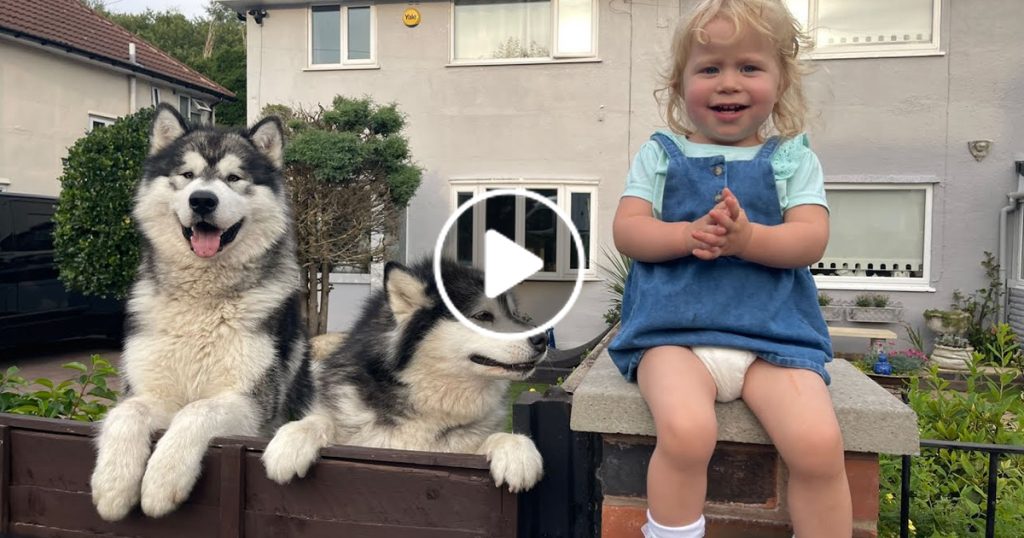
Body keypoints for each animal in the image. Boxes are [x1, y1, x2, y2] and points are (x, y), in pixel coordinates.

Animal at [90, 102, 313, 518]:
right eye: (188, 175)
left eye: (233, 177)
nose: (203, 200)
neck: (203, 304)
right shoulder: (149, 392)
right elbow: (127, 412)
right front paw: (113, 483)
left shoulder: (250, 404)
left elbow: (196, 411)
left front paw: (163, 478)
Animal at [264, 259, 552, 489]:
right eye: (483, 315)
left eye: (514, 314)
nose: (542, 339)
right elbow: (317, 420)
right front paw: (290, 442)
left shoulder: (459, 453)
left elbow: (502, 437)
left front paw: (517, 452)